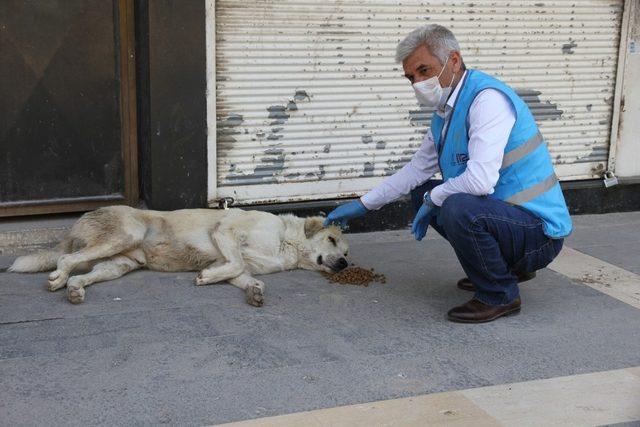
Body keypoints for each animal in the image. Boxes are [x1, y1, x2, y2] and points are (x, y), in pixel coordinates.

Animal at [8, 206, 350, 306]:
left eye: (346, 251)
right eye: (331, 239)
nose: (346, 263)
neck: (285, 242)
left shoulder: (229, 262)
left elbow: (241, 274)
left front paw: (253, 291)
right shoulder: (225, 230)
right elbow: (237, 261)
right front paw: (206, 278)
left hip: (119, 263)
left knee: (81, 274)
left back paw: (75, 290)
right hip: (125, 235)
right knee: (65, 261)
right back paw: (58, 279)